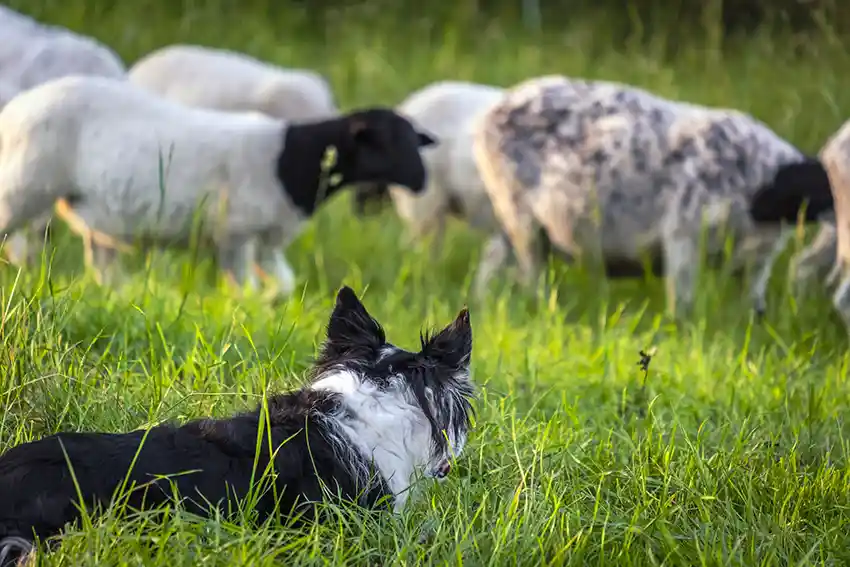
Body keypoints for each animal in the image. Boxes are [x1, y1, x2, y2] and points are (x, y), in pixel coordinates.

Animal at [0, 76, 438, 296]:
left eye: (413, 140)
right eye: (382, 142)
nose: (421, 181)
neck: (290, 161)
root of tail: (17, 107)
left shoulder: (267, 237)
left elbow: (283, 285)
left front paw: (269, 307)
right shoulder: (236, 234)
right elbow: (243, 289)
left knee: (101, 268)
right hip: (22, 186)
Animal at [468, 73, 832, 318]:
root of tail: (491, 111)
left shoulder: (758, 261)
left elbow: (754, 303)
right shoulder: (684, 233)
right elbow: (683, 302)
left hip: (511, 219)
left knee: (492, 259)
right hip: (519, 215)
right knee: (530, 272)